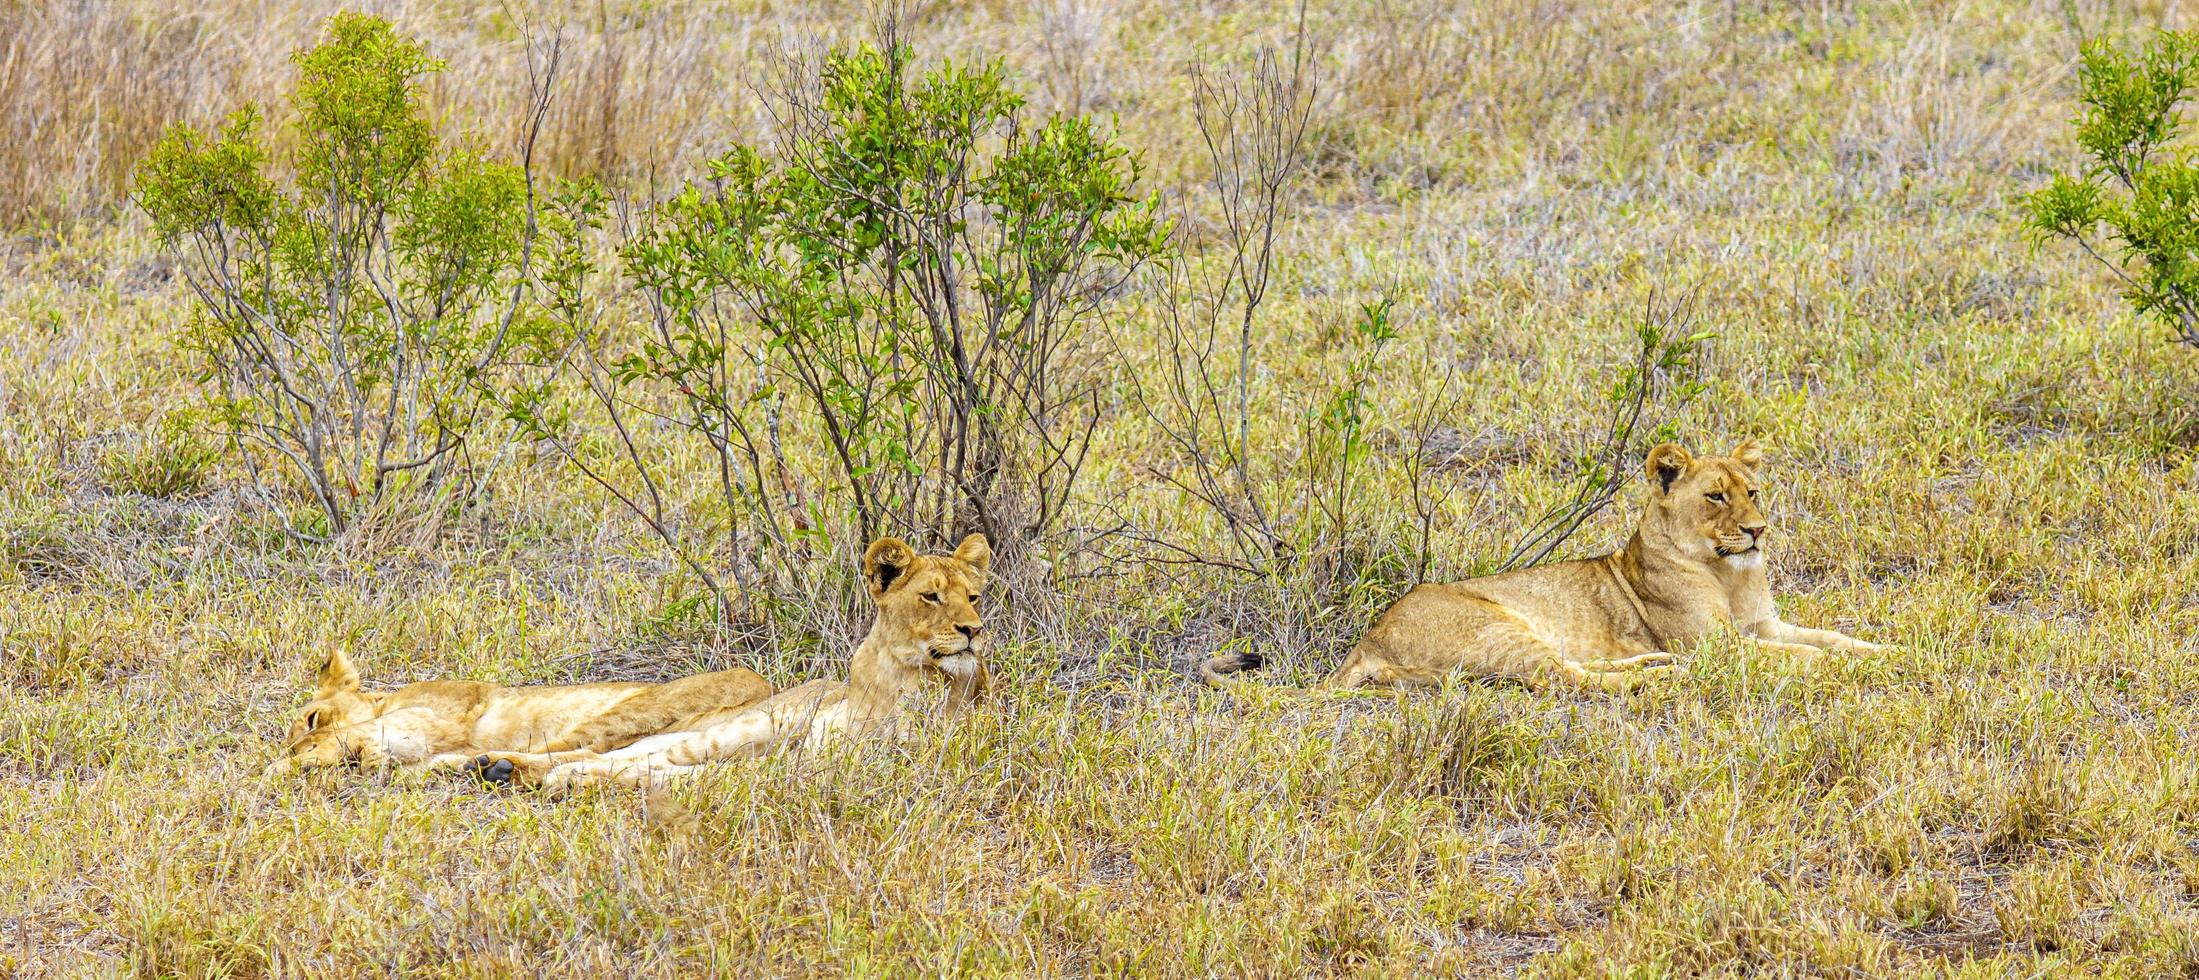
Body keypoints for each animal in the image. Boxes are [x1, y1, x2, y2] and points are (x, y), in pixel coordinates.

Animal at [277, 646, 774, 777]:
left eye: (311, 717)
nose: (298, 755)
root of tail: (764, 685)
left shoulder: (448, 714)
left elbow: (380, 731)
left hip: (635, 710)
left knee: (580, 753)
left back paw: (493, 767)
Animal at [463, 531, 998, 791]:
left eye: (973, 597)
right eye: (931, 597)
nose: (972, 630)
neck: (897, 676)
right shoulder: (808, 754)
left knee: (636, 760)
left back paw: (522, 772)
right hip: (749, 725)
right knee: (630, 754)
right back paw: (500, 766)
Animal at [1205, 439, 1891, 694]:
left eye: (1754, 491)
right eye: (1716, 497)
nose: (1757, 531)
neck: (1730, 572)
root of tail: (1365, 640)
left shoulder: (1763, 625)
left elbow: (1828, 635)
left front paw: (1885, 651)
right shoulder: (1717, 646)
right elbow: (1794, 656)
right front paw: (1839, 669)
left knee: (1578, 669)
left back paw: (1652, 665)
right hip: (1500, 629)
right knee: (1569, 681)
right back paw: (1657, 677)